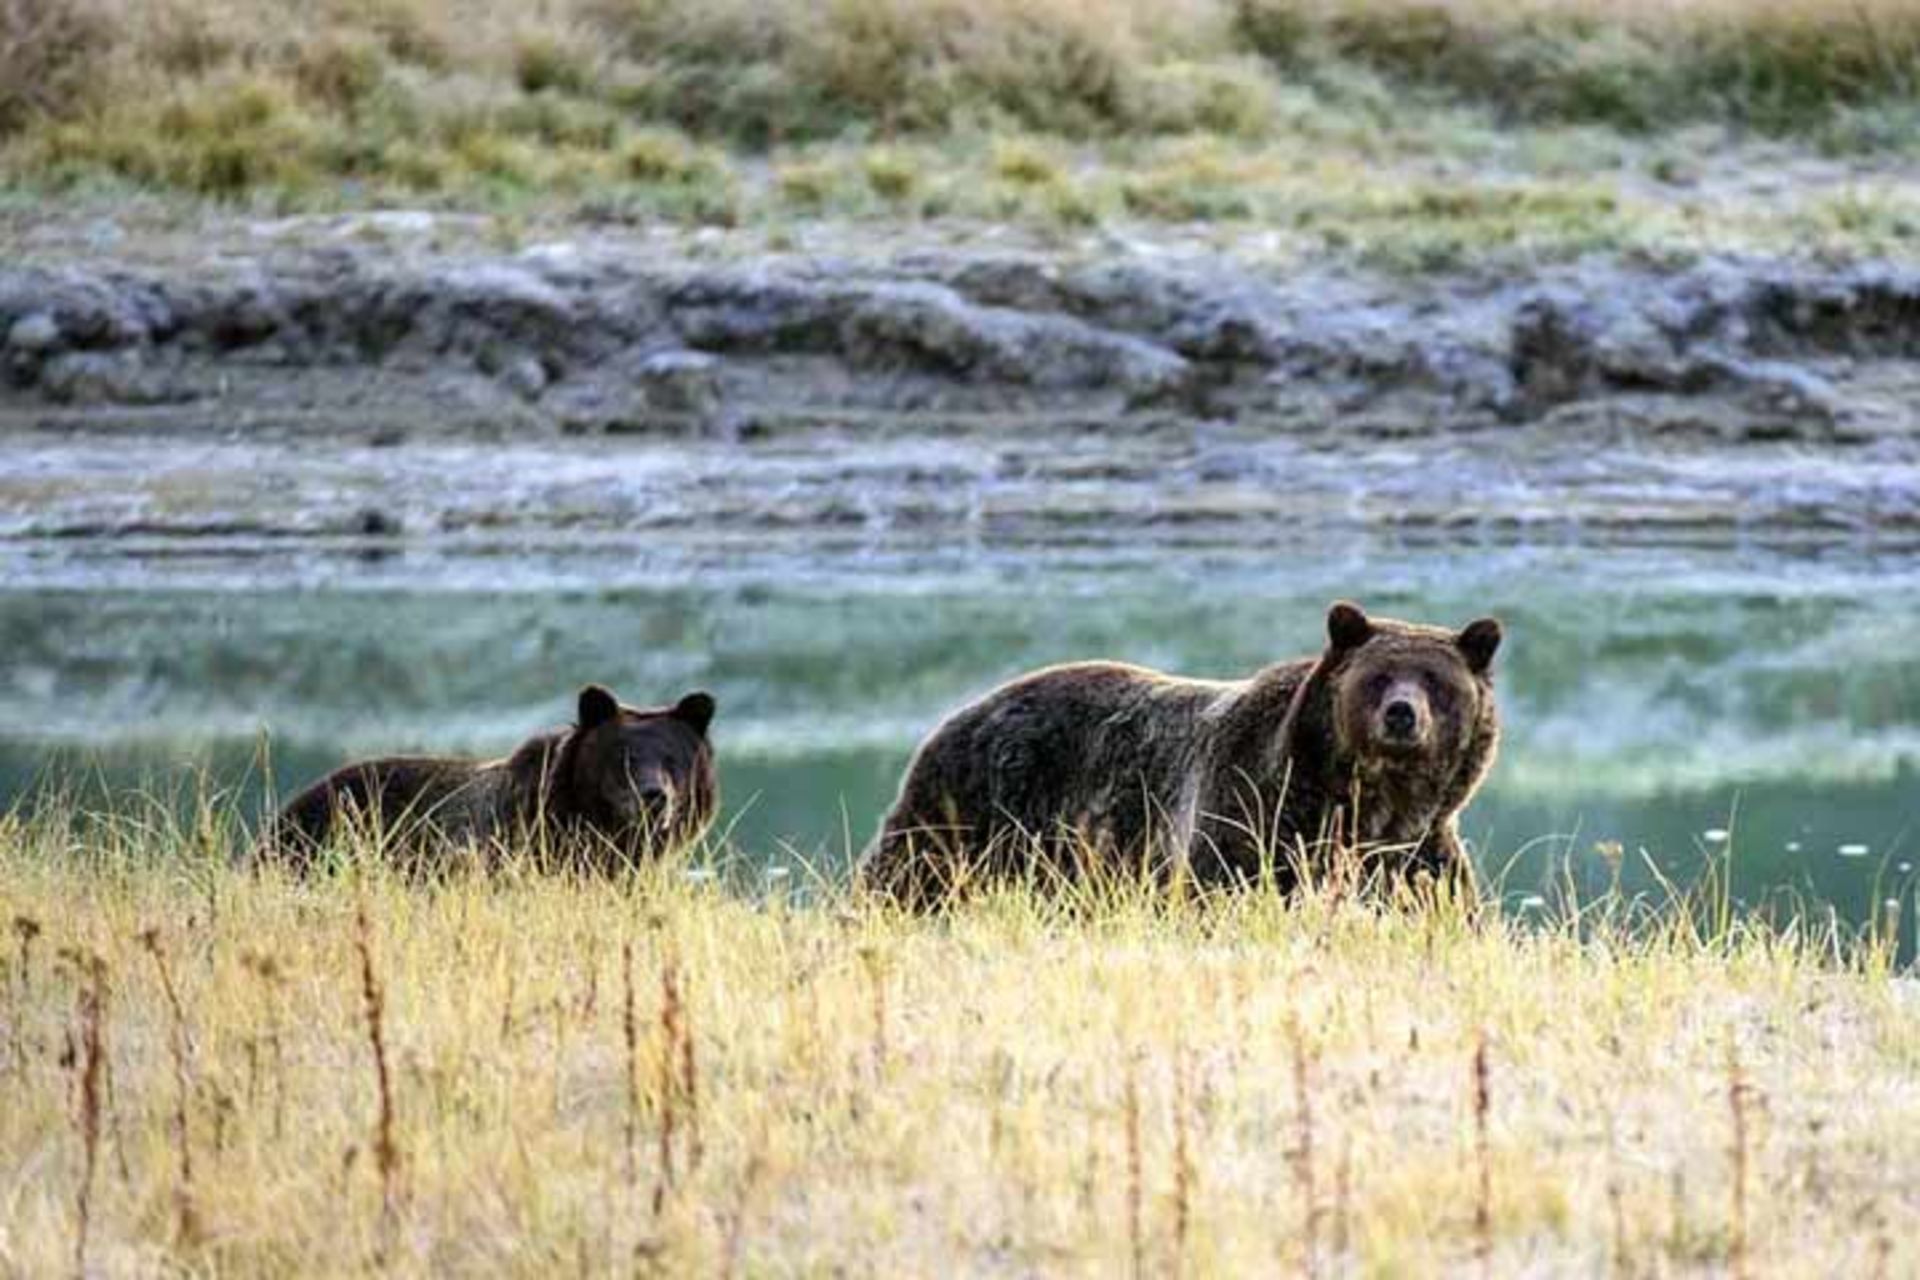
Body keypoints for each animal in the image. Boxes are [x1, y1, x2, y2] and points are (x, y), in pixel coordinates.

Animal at [856, 602, 1497, 909]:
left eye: (1436, 680)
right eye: (1378, 676)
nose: (1402, 714)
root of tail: (960, 712)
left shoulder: (1416, 854)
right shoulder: (1251, 817)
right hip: (975, 808)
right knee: (907, 877)